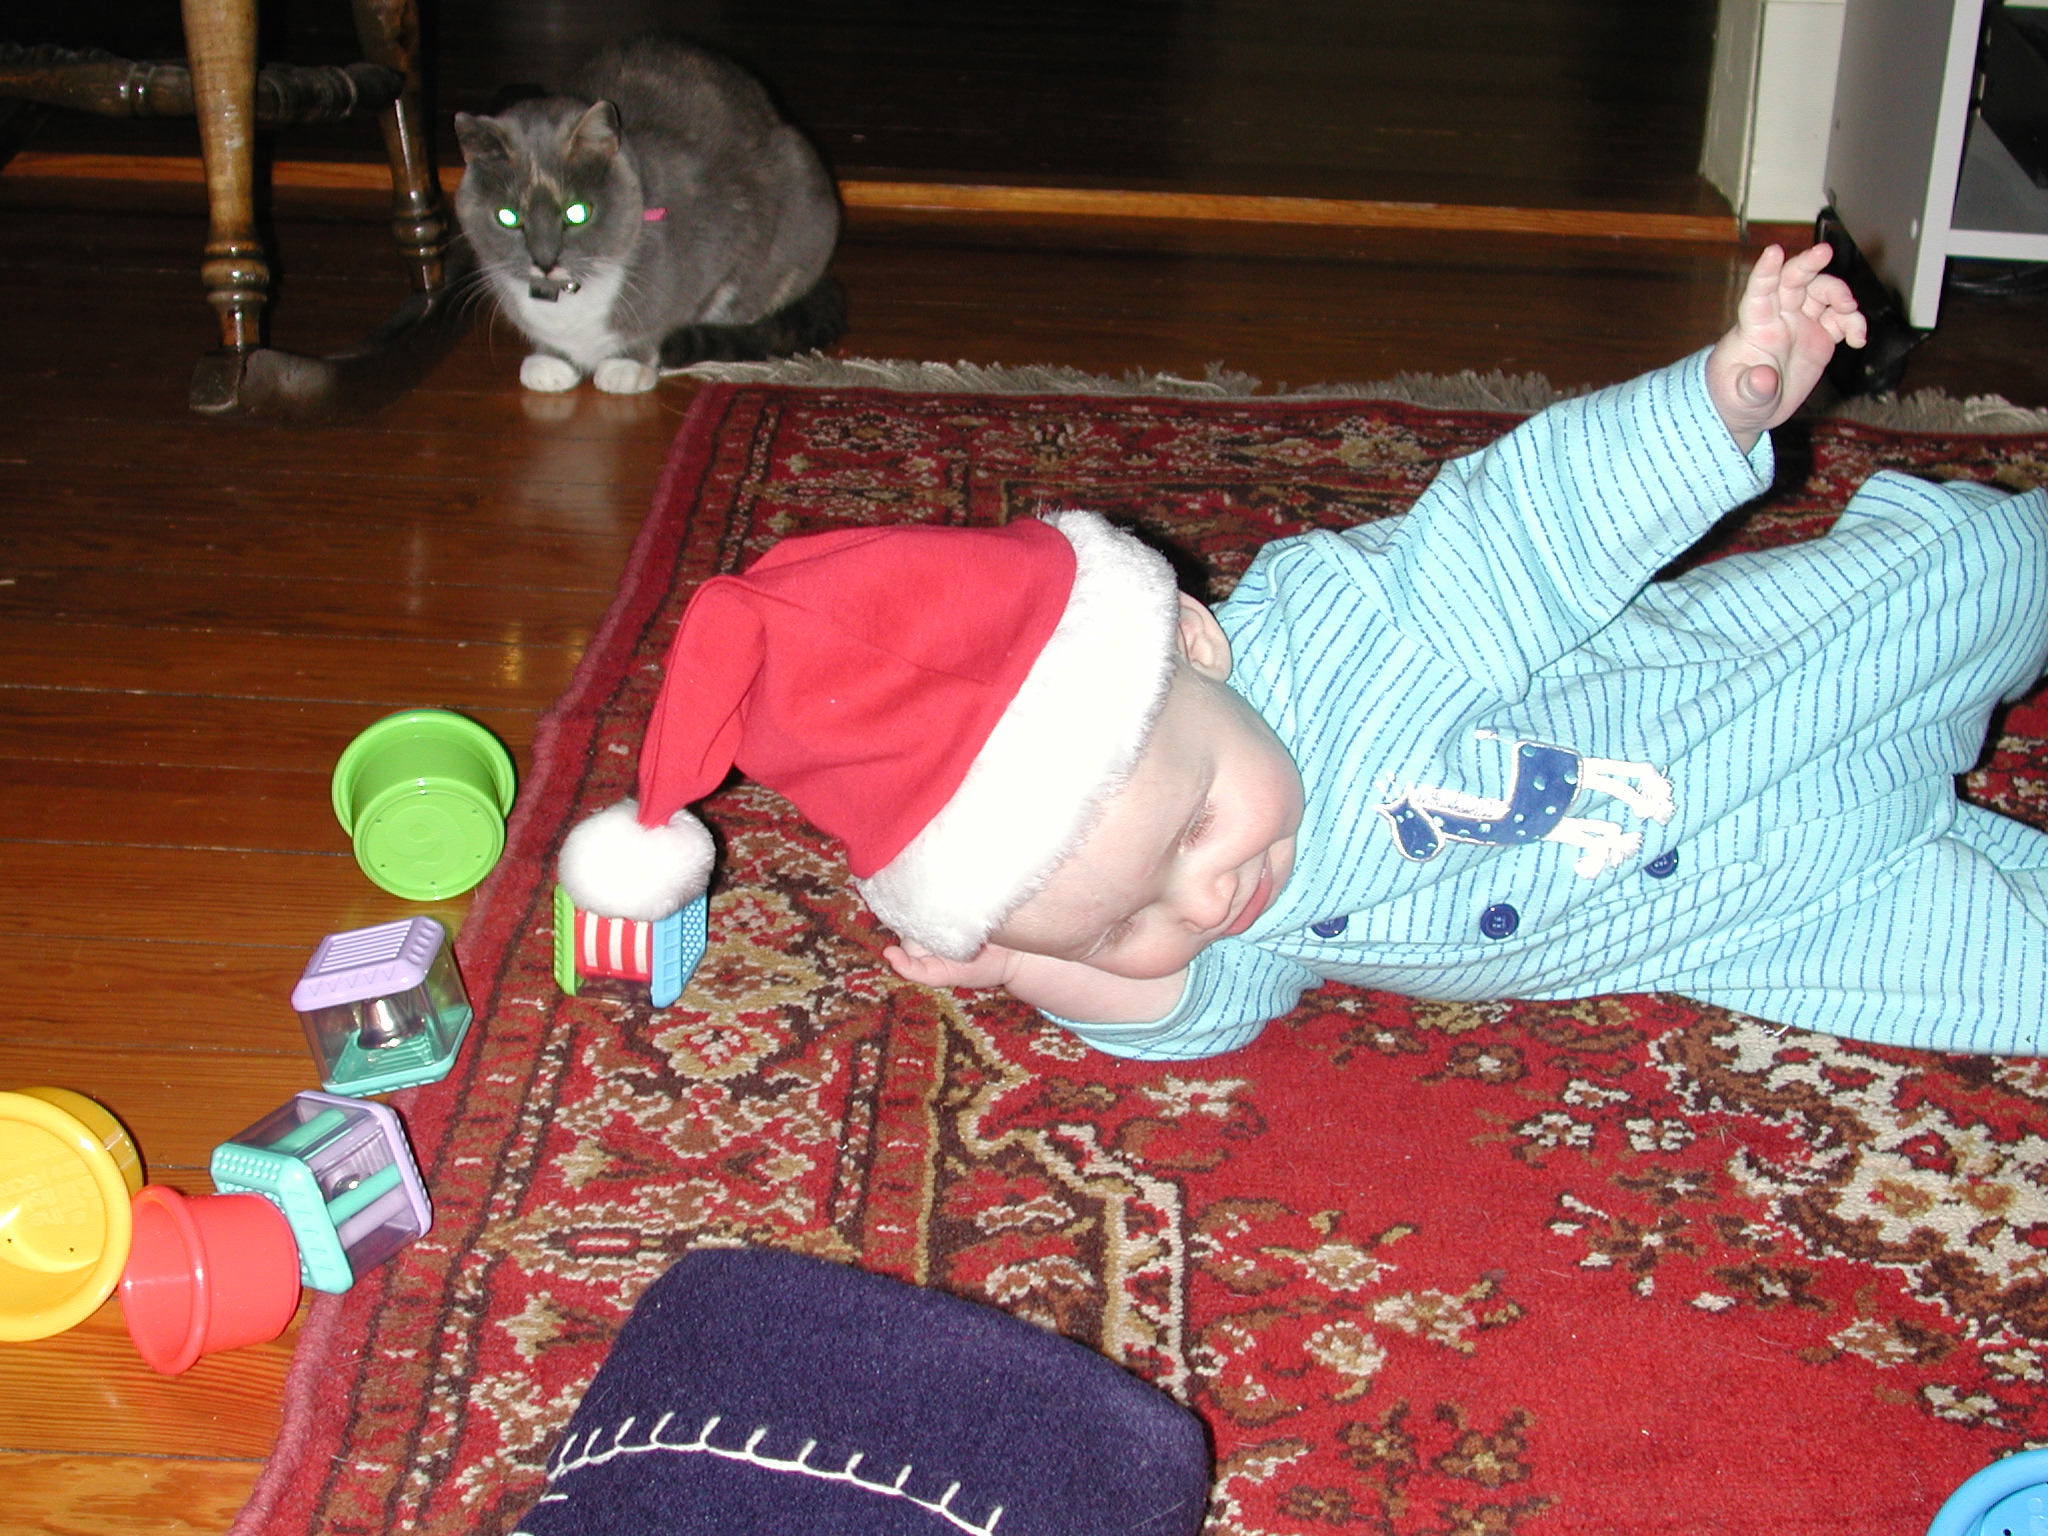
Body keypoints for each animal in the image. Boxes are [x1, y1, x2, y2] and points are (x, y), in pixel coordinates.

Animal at [453, 37, 843, 394]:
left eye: (577, 213)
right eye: (507, 217)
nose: (545, 261)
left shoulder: (726, 235)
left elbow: (665, 316)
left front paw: (627, 365)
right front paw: (551, 362)